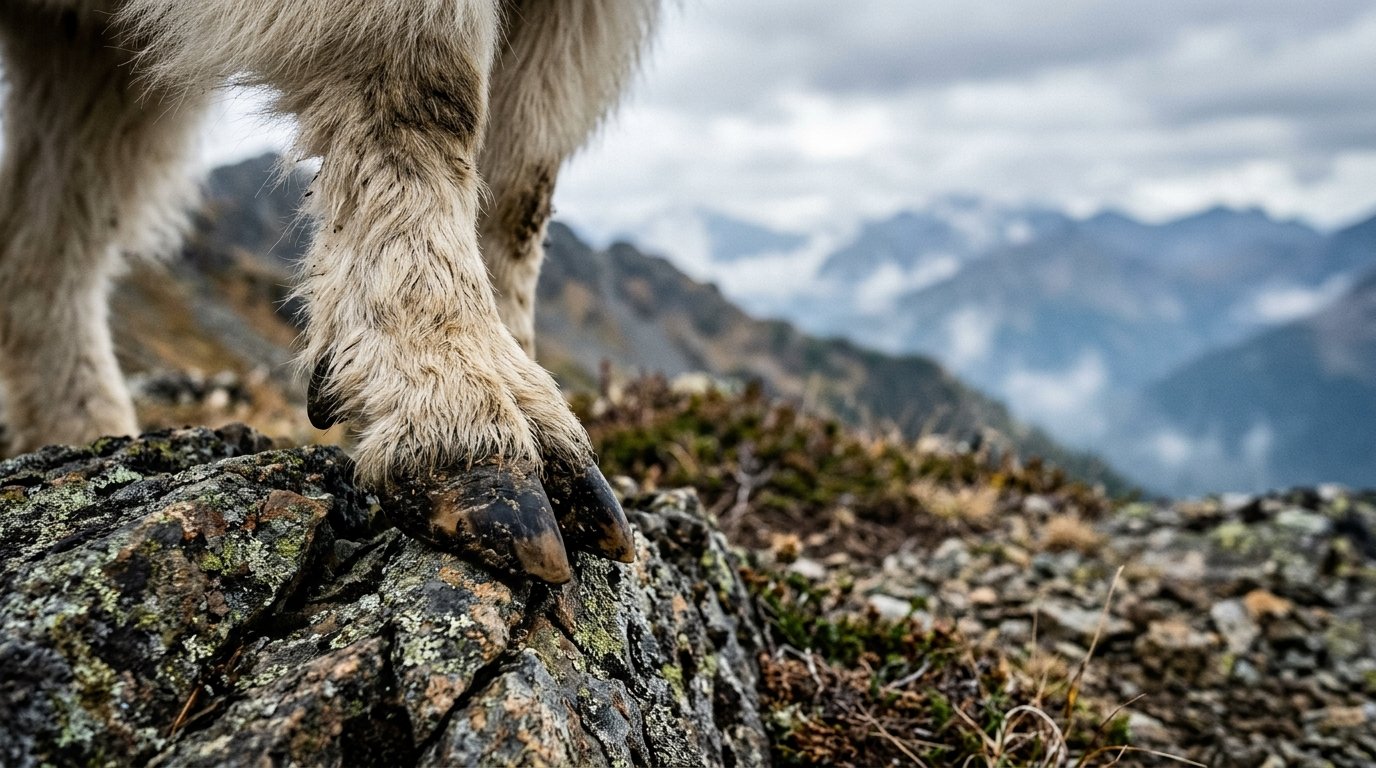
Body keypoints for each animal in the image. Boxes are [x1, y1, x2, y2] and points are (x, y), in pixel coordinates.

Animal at [0, 0, 660, 583]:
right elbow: (426, 78)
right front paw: (470, 425)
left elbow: (526, 179)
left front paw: (548, 432)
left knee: (52, 227)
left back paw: (83, 429)